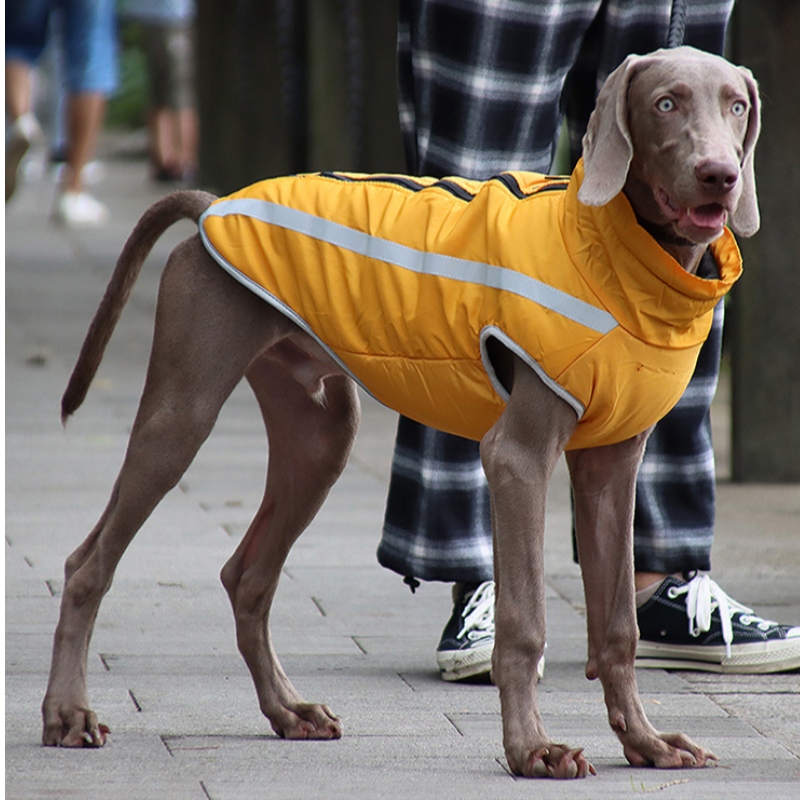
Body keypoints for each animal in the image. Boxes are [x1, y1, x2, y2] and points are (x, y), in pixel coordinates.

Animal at [40, 47, 760, 780]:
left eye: (736, 105)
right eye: (666, 103)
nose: (720, 175)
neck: (618, 254)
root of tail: (215, 206)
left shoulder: (612, 468)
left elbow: (619, 625)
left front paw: (645, 742)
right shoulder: (518, 459)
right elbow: (524, 624)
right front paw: (532, 749)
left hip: (320, 436)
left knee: (247, 577)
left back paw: (289, 711)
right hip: (182, 412)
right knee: (88, 564)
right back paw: (68, 714)